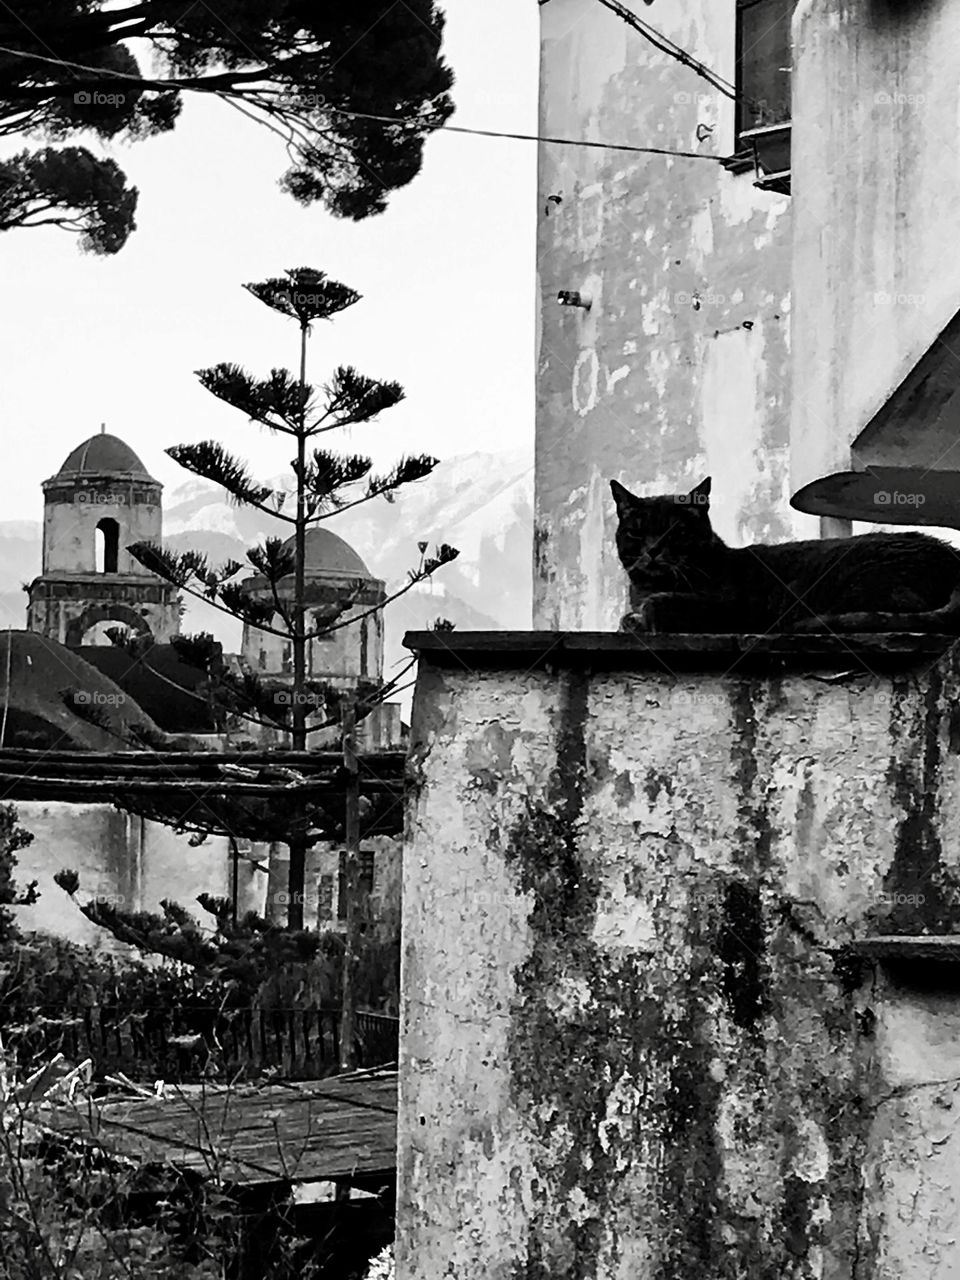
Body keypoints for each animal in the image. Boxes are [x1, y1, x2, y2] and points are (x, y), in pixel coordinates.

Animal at [611, 476, 960, 634]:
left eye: (676, 533)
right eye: (636, 533)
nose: (653, 550)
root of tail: (951, 555)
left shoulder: (734, 607)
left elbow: (661, 605)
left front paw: (643, 616)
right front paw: (632, 619)